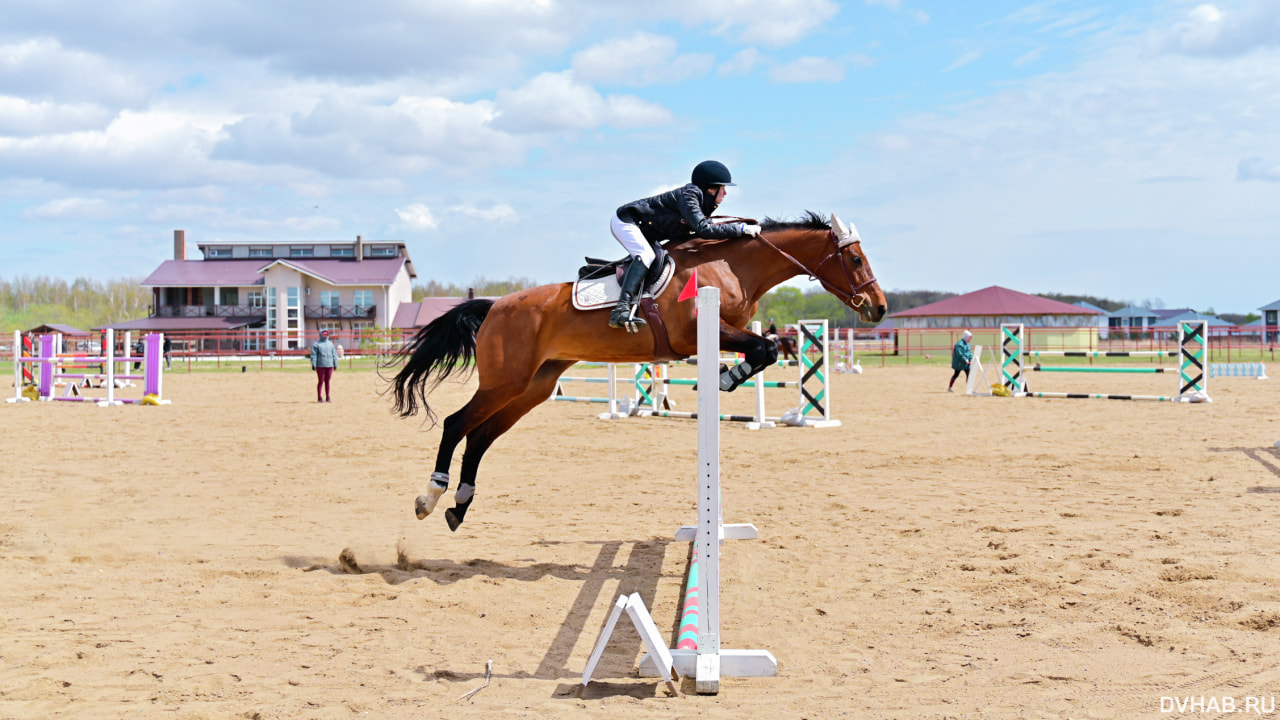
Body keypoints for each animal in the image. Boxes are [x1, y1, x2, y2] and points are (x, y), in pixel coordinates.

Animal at [389, 210, 890, 530]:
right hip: (505, 381)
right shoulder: (698, 332)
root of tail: (494, 305)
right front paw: (728, 377)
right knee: (457, 424)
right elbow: (764, 347)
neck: (731, 264)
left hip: (534, 386)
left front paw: (727, 377)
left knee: (480, 437)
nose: (879, 308)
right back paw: (429, 498)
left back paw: (459, 507)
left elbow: (763, 350)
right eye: (855, 259)